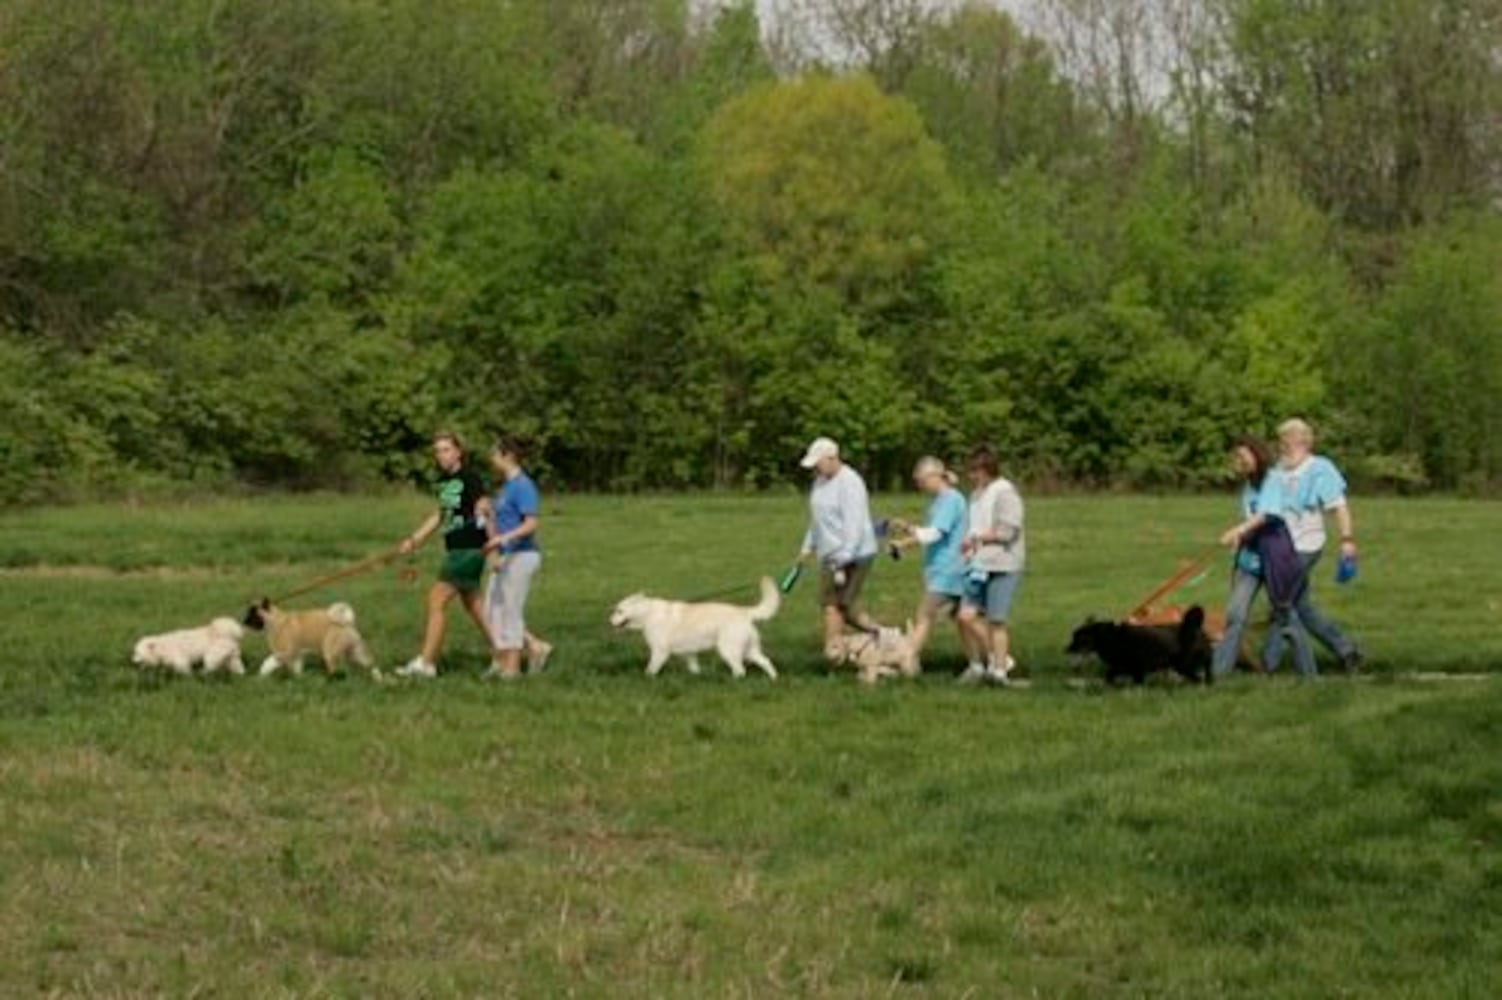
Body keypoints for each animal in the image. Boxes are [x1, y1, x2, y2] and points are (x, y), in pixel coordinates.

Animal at [240, 594, 372, 672]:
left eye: (253, 614)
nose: (243, 622)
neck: (276, 620)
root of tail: (347, 623)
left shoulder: (285, 653)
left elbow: (268, 662)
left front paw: (262, 674)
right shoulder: (296, 656)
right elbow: (297, 670)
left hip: (330, 653)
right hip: (355, 652)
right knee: (371, 665)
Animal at [606, 576, 781, 678]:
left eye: (619, 610)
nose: (609, 621)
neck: (648, 614)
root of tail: (744, 612)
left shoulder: (660, 652)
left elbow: (650, 670)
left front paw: (647, 678)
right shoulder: (688, 653)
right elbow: (694, 669)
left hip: (728, 651)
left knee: (740, 670)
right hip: (749, 651)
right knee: (766, 661)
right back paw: (774, 679)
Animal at [1063, 600, 1213, 684]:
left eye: (1078, 638)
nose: (1066, 650)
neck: (1111, 637)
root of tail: (1193, 627)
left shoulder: (1136, 668)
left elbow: (1131, 680)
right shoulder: (1123, 668)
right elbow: (1109, 676)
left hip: (1184, 666)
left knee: (1198, 679)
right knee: (1207, 676)